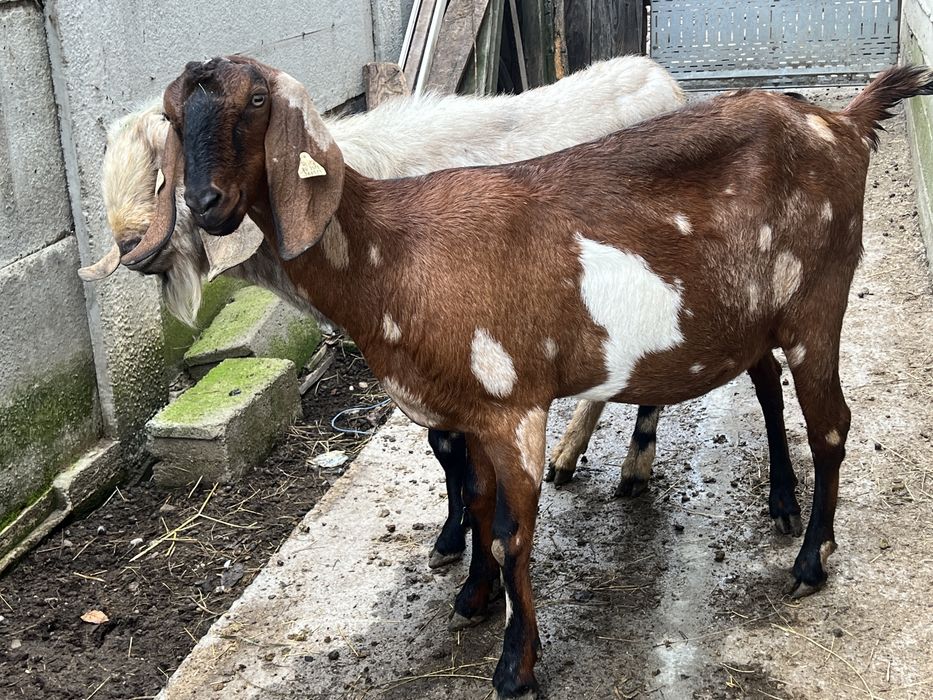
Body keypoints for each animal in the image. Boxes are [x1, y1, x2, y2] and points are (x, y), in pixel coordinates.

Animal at [82, 57, 703, 568]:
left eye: (161, 175)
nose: (132, 247)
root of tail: (665, 80)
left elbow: (452, 451)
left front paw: (457, 543)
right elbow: (447, 452)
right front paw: (453, 540)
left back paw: (634, 469)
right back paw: (568, 456)